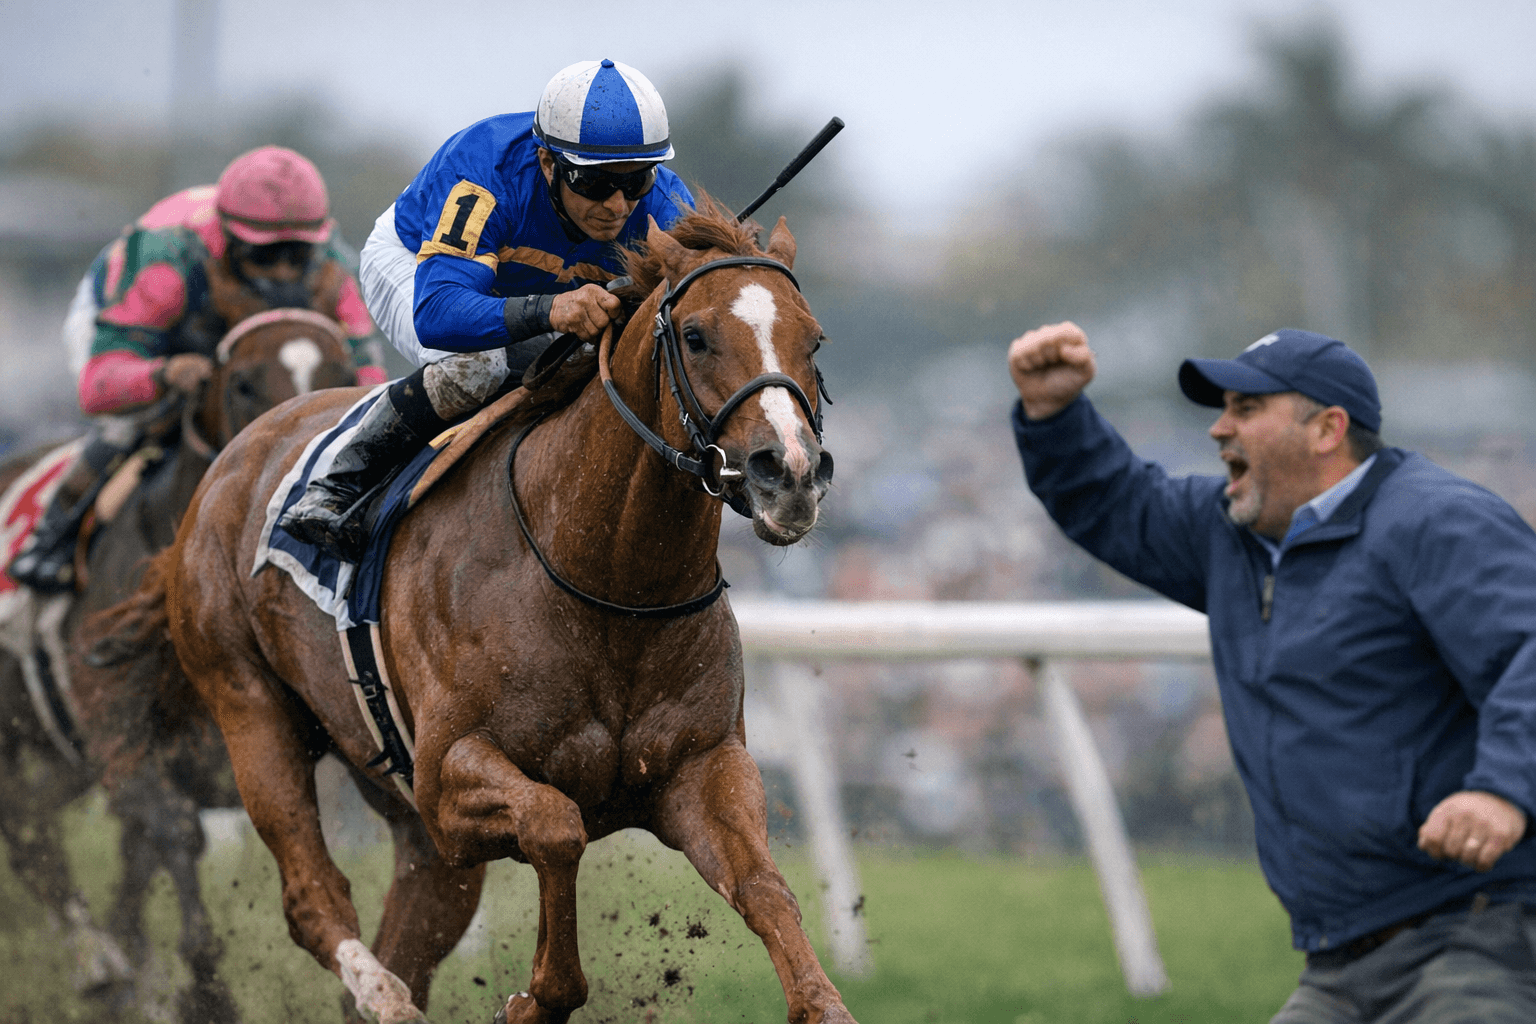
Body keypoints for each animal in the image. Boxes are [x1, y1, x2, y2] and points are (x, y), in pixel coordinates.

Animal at [0, 307, 357, 1021]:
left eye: (336, 369)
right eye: (242, 381)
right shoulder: (127, 753)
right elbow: (177, 838)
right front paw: (203, 992)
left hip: (58, 763)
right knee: (24, 829)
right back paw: (97, 963)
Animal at [101, 197, 855, 1024]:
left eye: (815, 338)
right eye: (696, 335)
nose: (790, 473)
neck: (612, 582)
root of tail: (229, 460)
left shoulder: (701, 766)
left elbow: (764, 886)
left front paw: (822, 999)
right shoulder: (448, 780)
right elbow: (556, 826)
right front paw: (533, 999)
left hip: (405, 815)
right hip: (249, 706)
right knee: (310, 896)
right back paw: (385, 998)